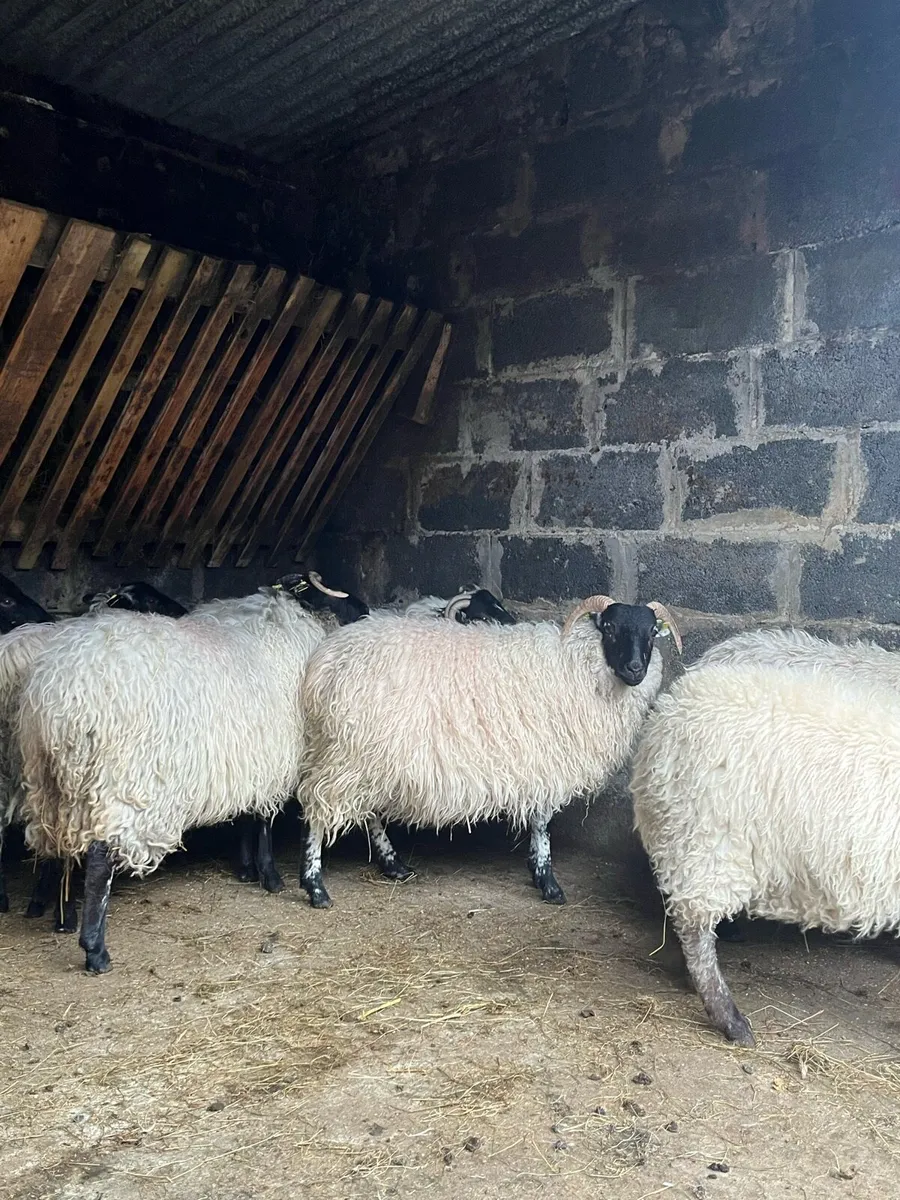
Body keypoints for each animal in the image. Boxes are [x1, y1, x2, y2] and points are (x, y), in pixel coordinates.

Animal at [16, 572, 365, 973]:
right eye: (345, 598)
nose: (369, 613)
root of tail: (59, 697)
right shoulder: (269, 756)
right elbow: (263, 820)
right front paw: (271, 876)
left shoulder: (245, 759)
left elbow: (246, 816)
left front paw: (246, 869)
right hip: (117, 782)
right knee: (100, 861)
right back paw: (95, 950)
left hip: (54, 785)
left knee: (63, 848)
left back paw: (63, 916)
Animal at [298, 594, 681, 909]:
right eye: (611, 628)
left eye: (651, 632)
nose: (635, 669)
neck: (577, 663)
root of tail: (324, 660)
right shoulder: (546, 759)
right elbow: (542, 823)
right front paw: (548, 882)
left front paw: (539, 873)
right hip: (348, 751)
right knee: (318, 812)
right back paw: (315, 887)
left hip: (367, 756)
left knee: (367, 812)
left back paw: (393, 865)